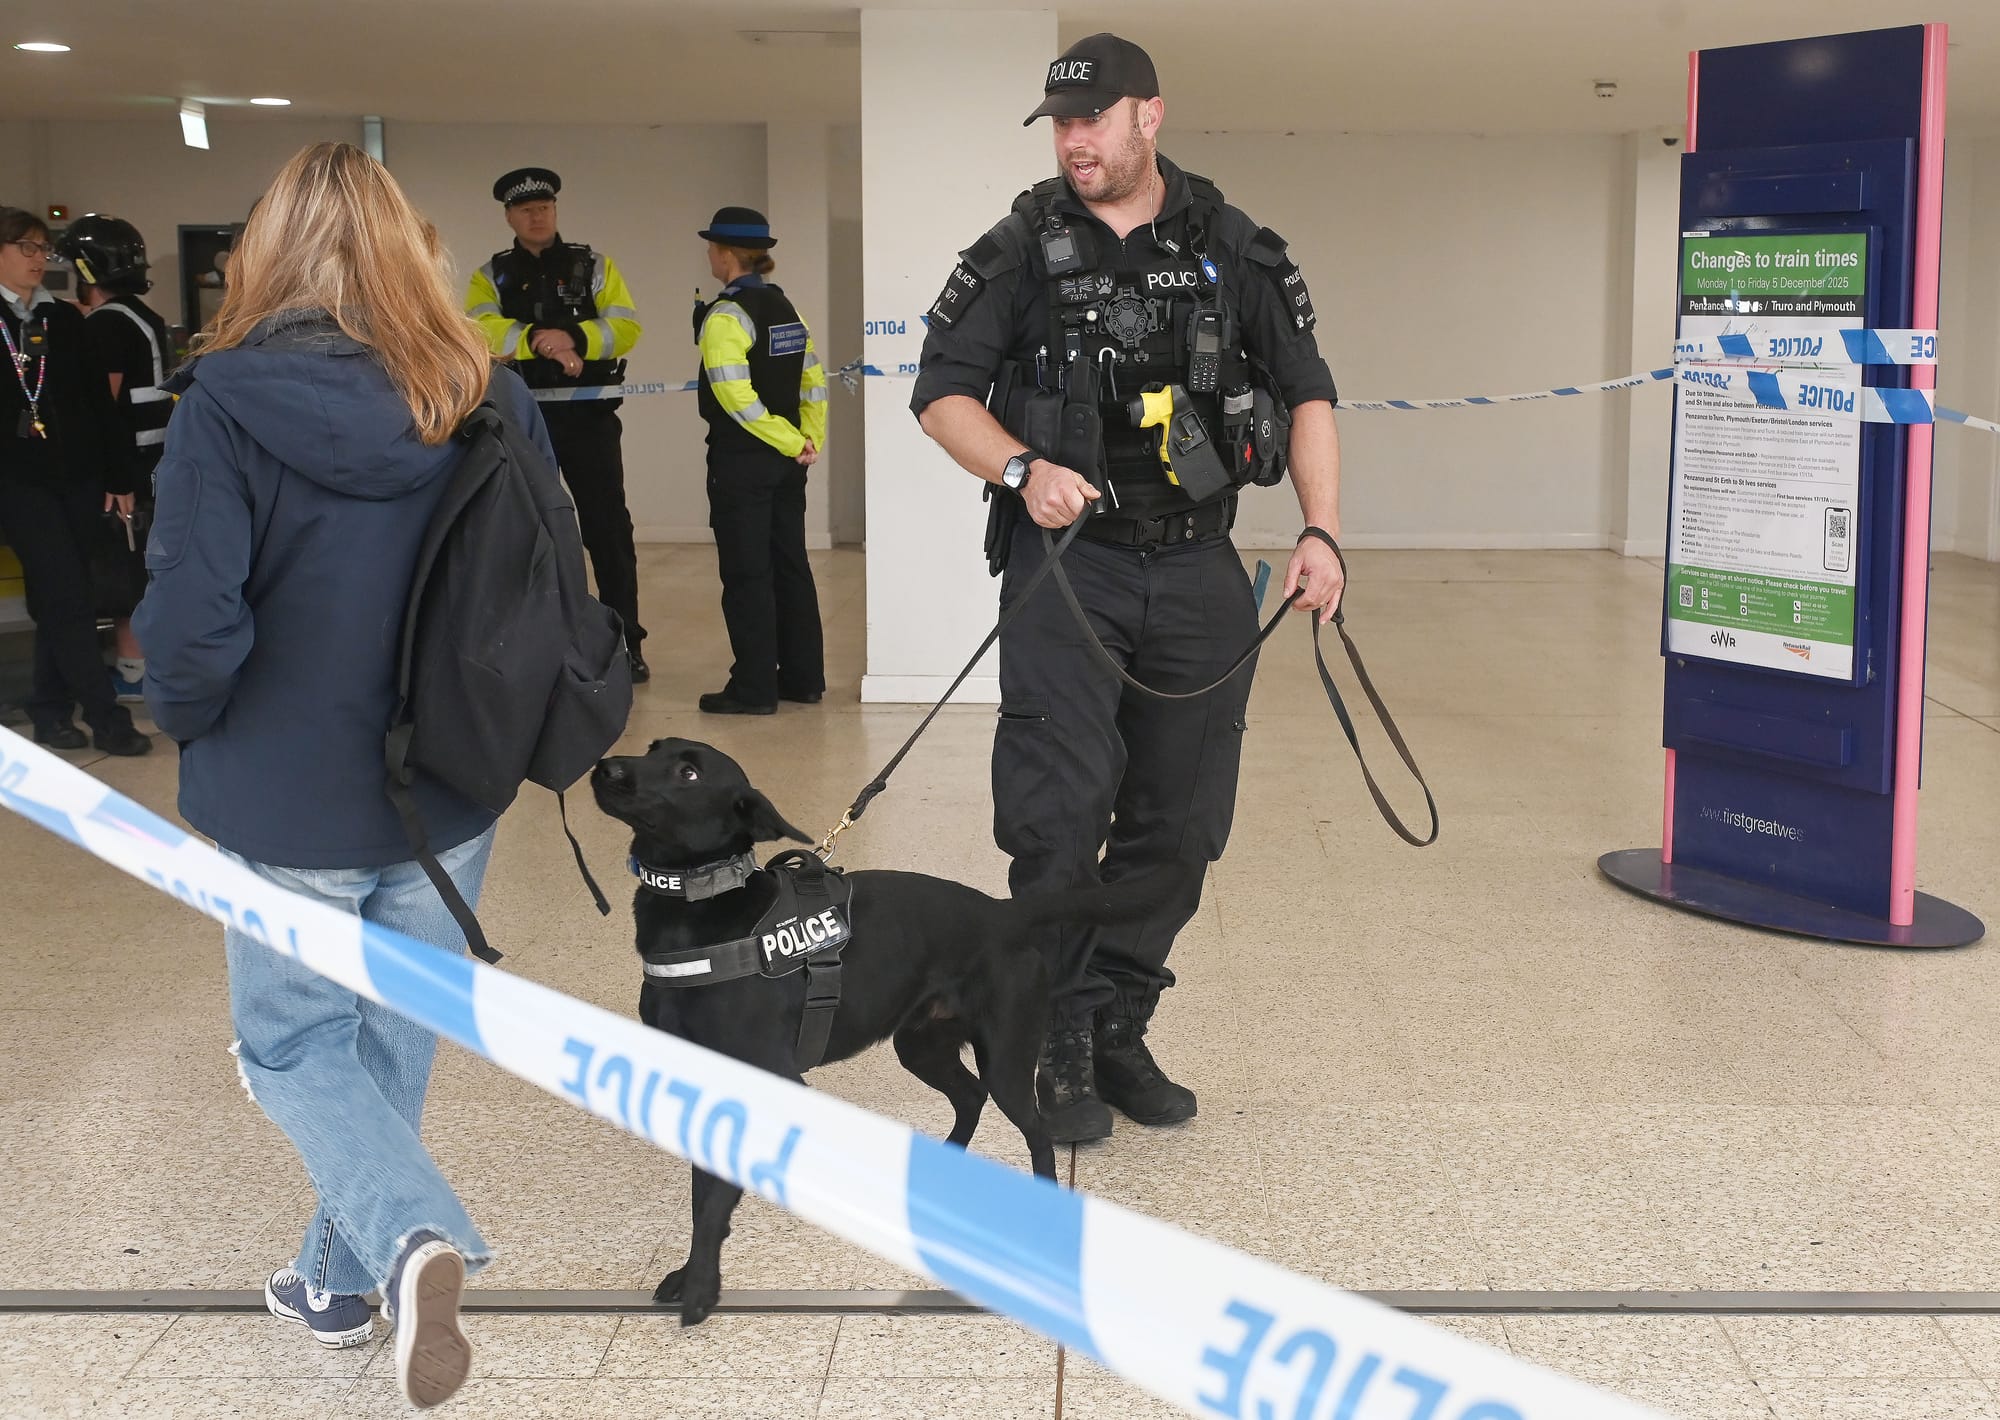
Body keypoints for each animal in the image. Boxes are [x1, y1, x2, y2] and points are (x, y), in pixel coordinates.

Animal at [590, 737, 1189, 1325]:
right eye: (651, 749)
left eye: (688, 773)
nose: (605, 768)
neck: (702, 910)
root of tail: (1004, 915)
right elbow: (701, 1195)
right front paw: (690, 1273)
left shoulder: (763, 1080)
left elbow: (713, 1200)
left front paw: (701, 1287)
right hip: (920, 1045)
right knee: (969, 1095)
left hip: (1006, 1059)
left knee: (1037, 1133)